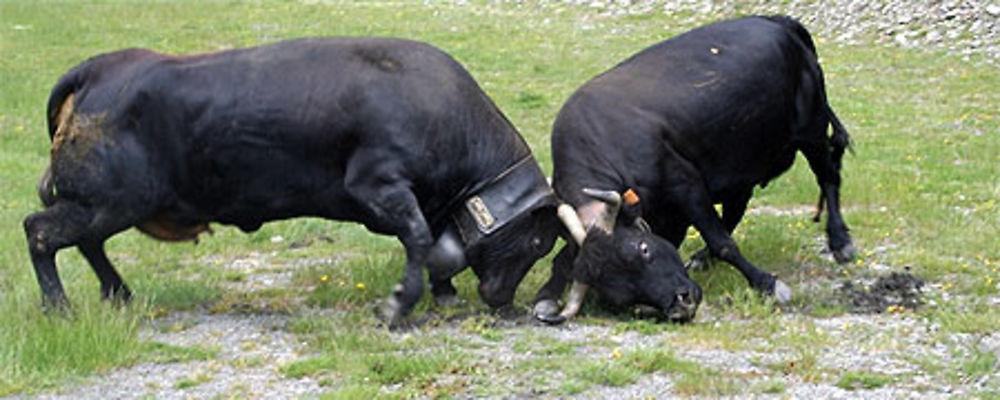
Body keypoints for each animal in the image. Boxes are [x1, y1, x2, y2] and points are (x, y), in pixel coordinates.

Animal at [23, 36, 568, 324]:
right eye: (538, 240)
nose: (503, 301)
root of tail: (102, 67)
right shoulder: (379, 185)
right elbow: (417, 237)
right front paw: (399, 305)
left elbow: (432, 243)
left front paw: (444, 290)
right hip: (108, 199)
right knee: (40, 231)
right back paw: (58, 306)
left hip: (105, 203)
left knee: (87, 242)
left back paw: (118, 292)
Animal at [536, 15, 856, 324]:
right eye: (621, 295)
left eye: (643, 249)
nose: (682, 304)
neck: (606, 139)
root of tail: (777, 20)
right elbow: (563, 260)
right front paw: (547, 294)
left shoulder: (685, 184)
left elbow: (721, 242)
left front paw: (768, 284)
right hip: (742, 164)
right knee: (737, 209)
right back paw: (702, 259)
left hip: (811, 129)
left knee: (828, 178)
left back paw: (840, 241)